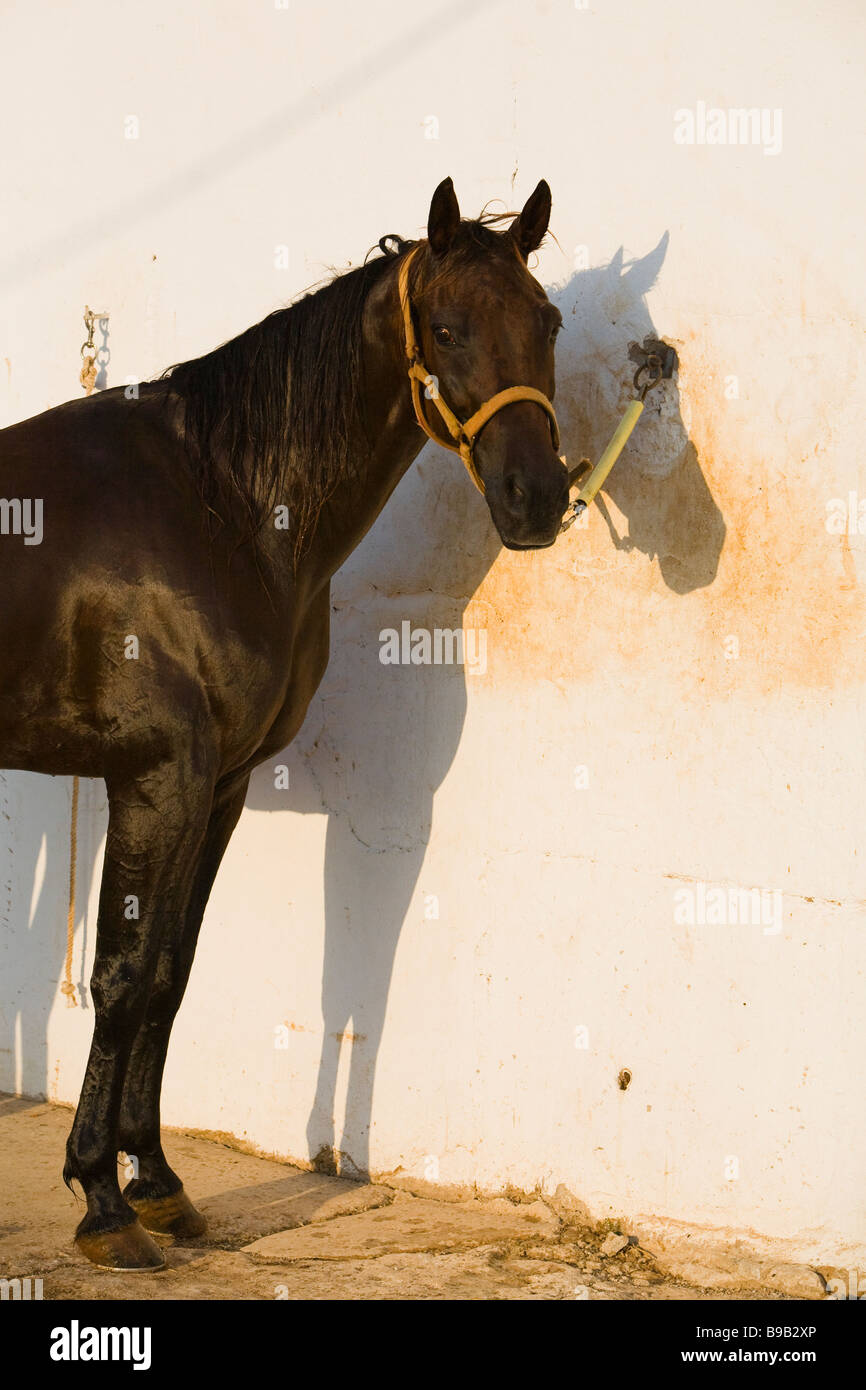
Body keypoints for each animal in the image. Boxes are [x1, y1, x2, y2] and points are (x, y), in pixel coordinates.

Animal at [0, 176, 569, 1269]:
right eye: (445, 327)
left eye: (549, 322)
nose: (539, 497)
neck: (220, 502)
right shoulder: (155, 778)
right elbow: (121, 976)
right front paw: (102, 1201)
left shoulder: (216, 785)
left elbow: (172, 974)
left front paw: (161, 1184)